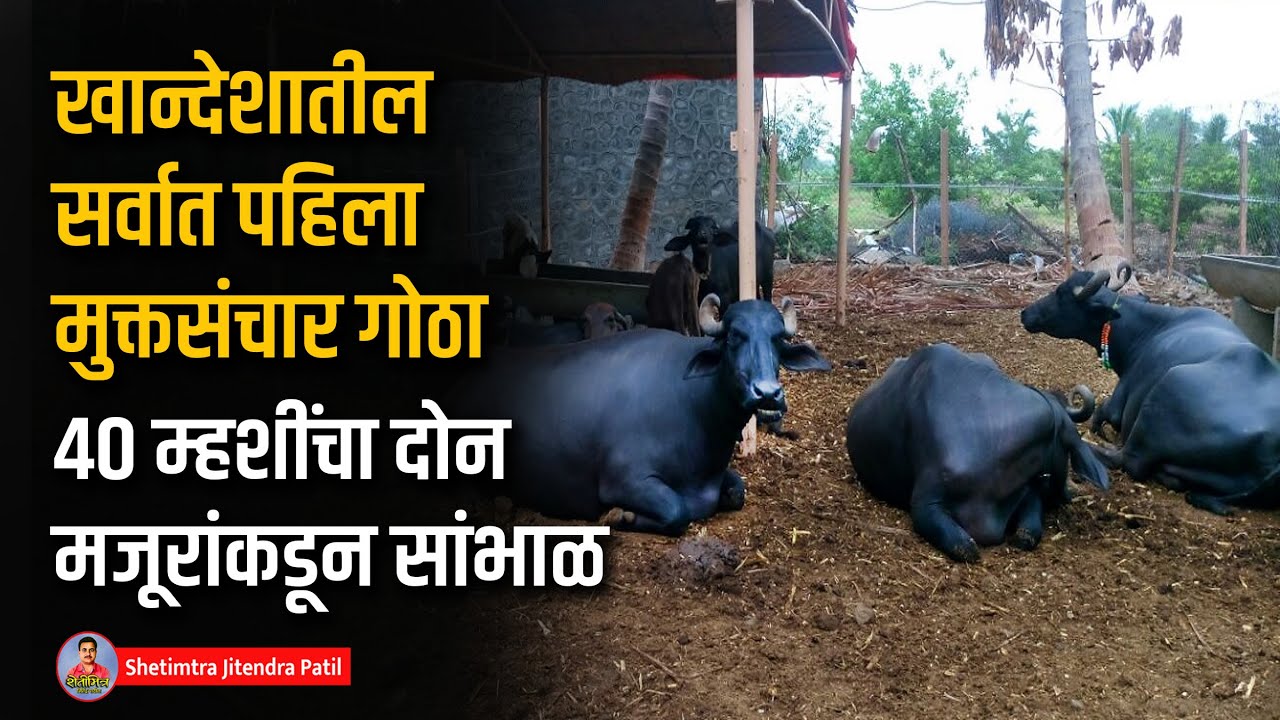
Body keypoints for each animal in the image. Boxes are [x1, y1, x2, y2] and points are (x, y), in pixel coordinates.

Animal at [443, 294, 832, 535]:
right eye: (734, 336)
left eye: (778, 338)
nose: (767, 394)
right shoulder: (625, 480)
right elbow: (676, 511)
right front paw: (620, 515)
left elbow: (737, 491)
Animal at [1021, 264, 1280, 514]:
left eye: (1060, 292)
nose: (1025, 313)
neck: (1148, 328)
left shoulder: (1117, 405)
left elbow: (1101, 413)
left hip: (1169, 386)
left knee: (1128, 459)